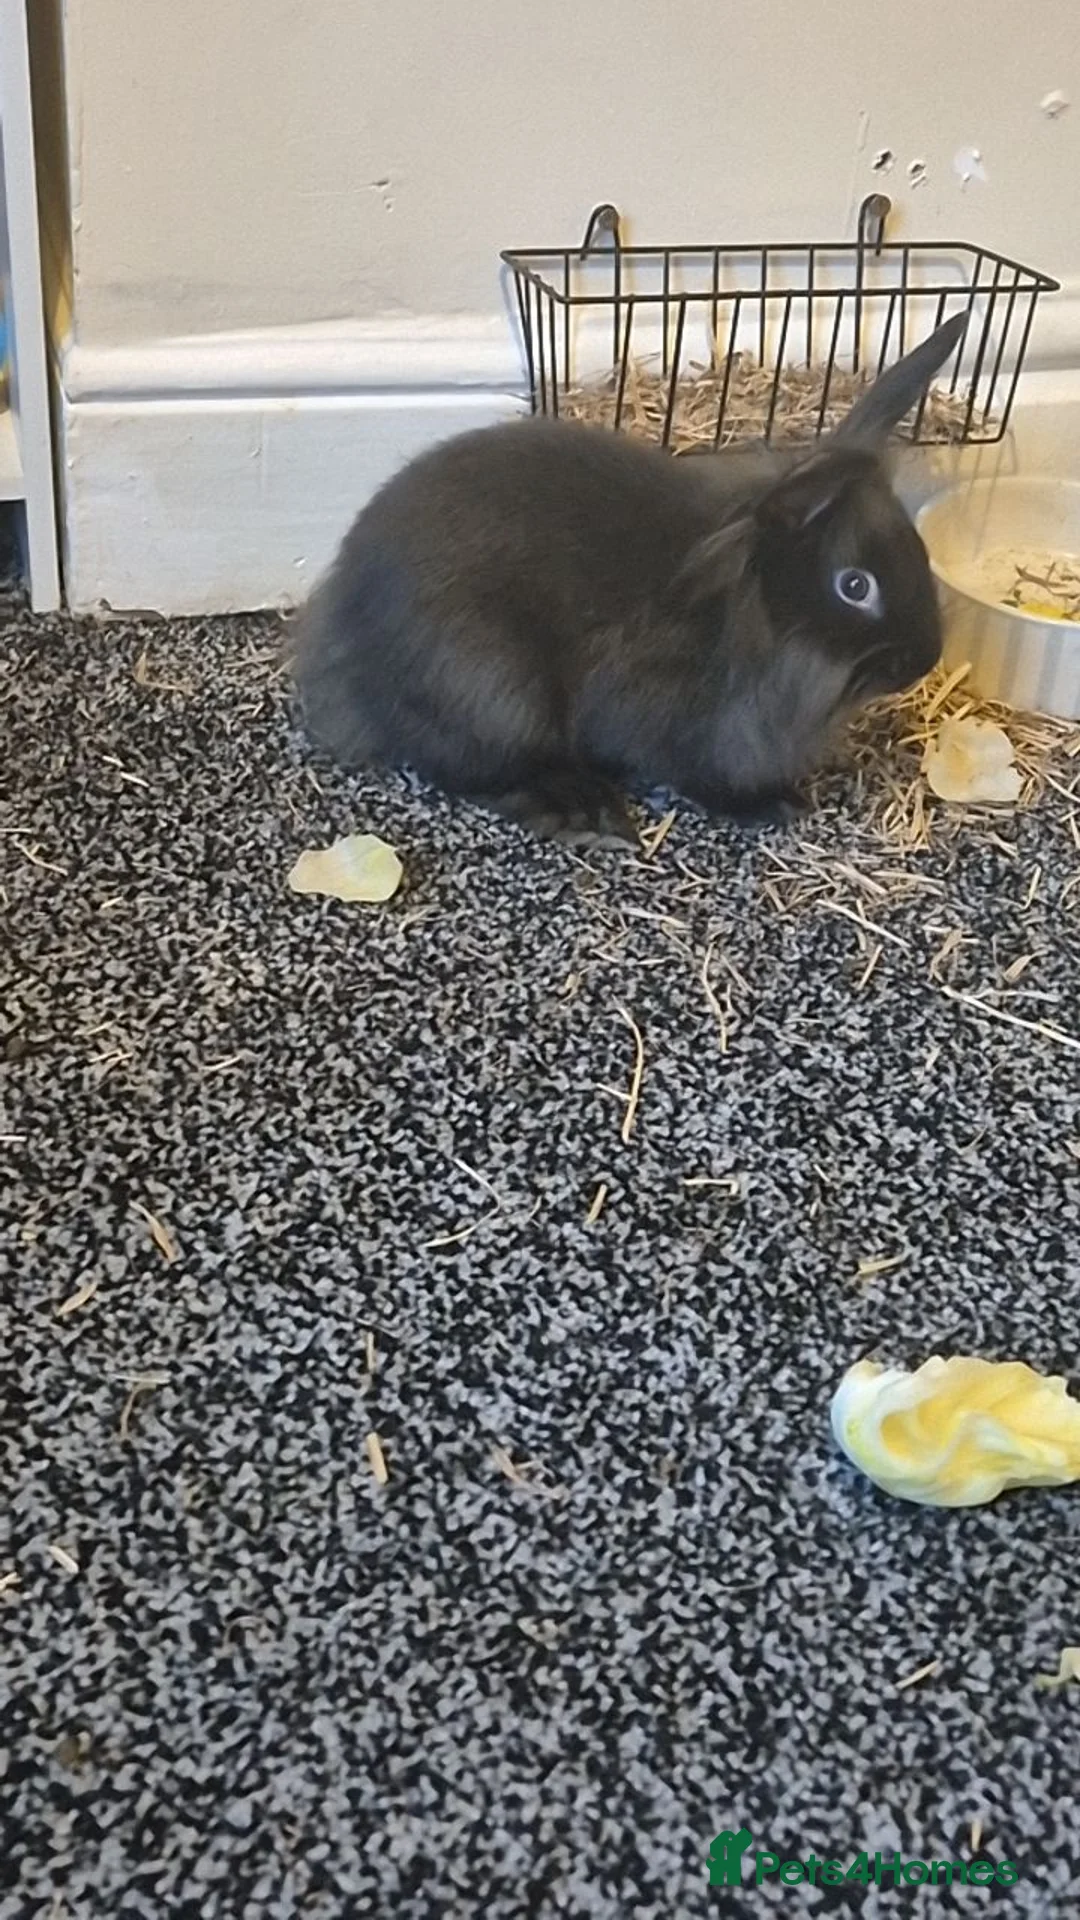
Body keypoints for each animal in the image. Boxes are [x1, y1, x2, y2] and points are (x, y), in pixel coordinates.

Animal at [292, 312, 965, 846]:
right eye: (855, 586)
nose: (924, 661)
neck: (751, 616)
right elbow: (695, 776)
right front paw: (774, 804)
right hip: (491, 687)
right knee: (472, 769)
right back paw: (584, 812)